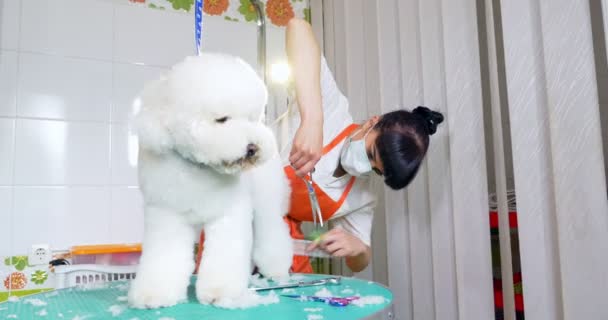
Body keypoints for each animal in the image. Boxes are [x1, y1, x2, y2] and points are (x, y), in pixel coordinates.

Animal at [130, 53, 294, 308]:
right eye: (221, 119)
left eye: (252, 119)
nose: (253, 148)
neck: (198, 168)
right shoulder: (167, 216)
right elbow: (164, 257)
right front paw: (155, 294)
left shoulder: (229, 214)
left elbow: (224, 254)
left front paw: (221, 291)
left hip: (266, 202)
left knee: (272, 232)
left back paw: (276, 269)